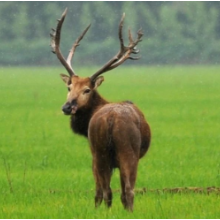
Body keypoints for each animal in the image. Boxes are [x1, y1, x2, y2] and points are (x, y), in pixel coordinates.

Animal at [50, 8, 150, 211]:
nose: (67, 107)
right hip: (124, 151)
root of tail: (111, 118)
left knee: (109, 191)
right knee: (124, 191)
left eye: (87, 90)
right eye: (69, 87)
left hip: (102, 151)